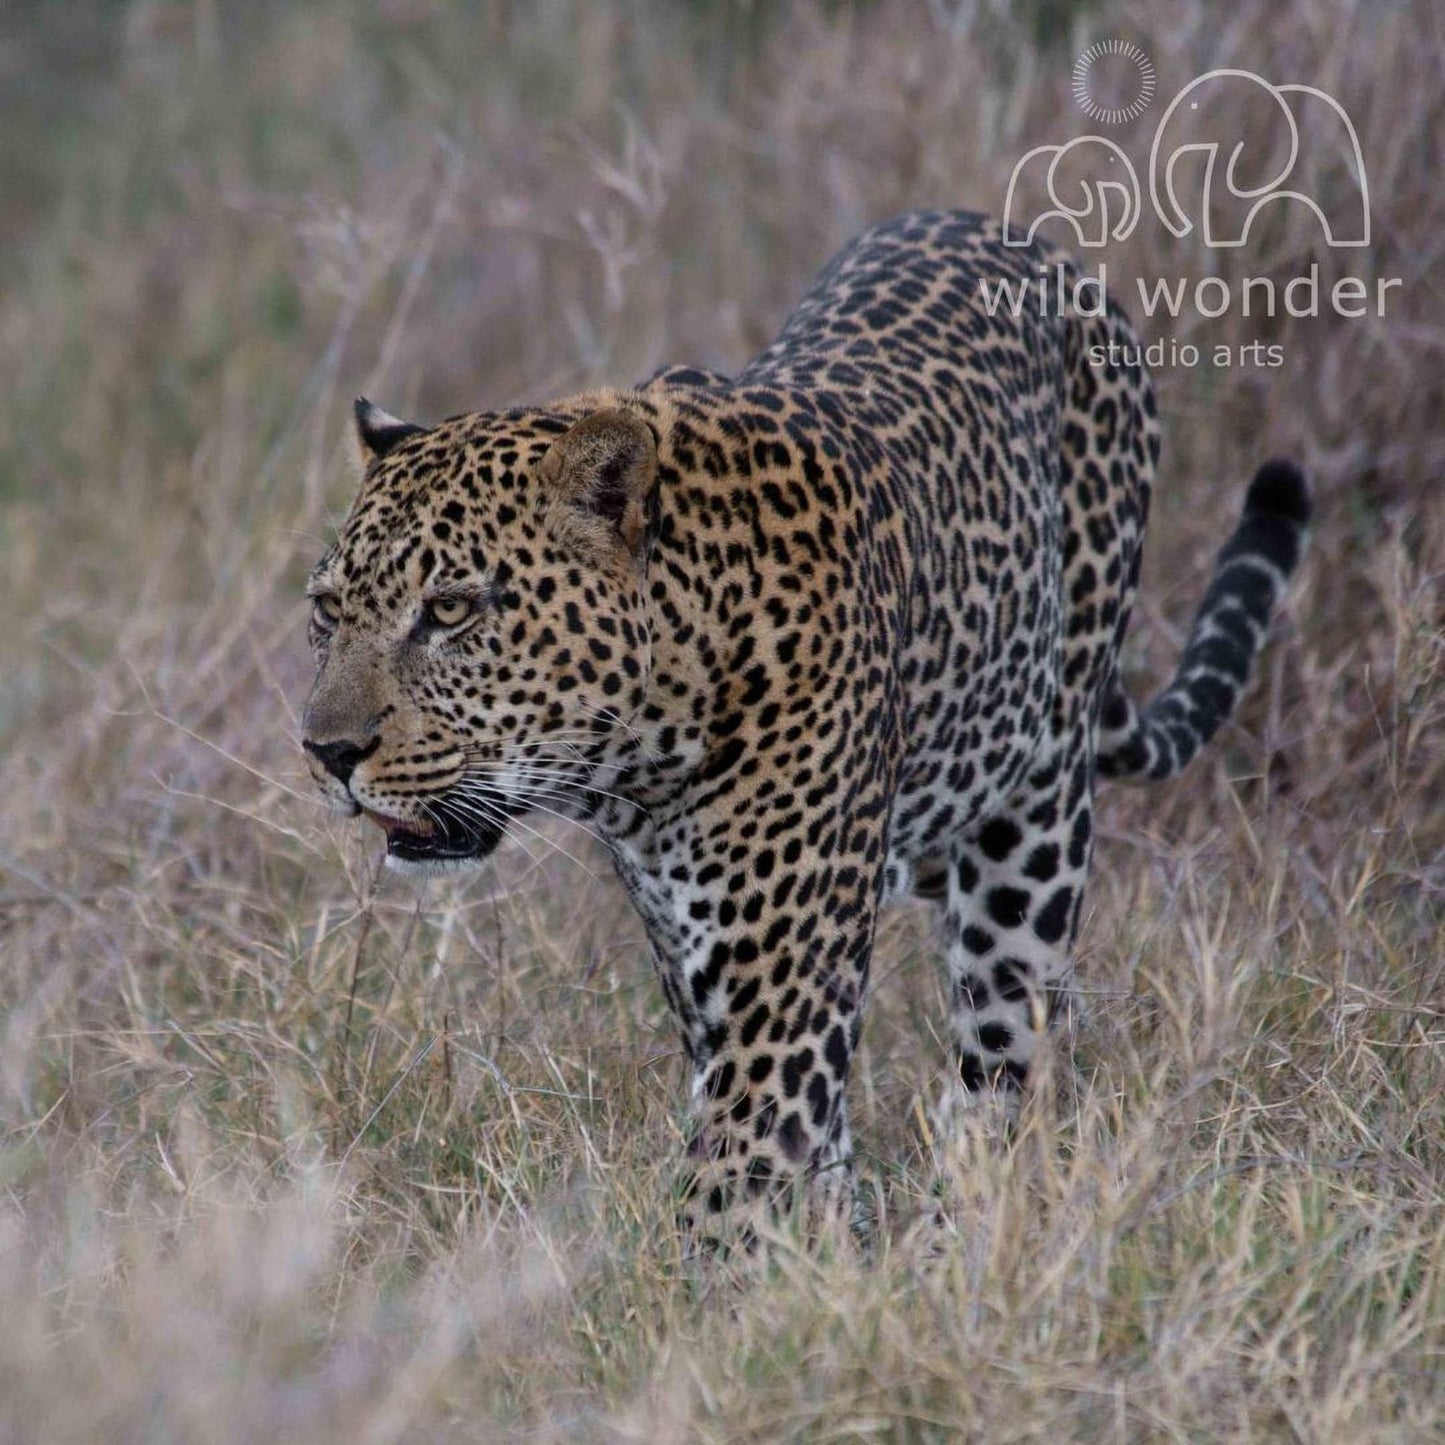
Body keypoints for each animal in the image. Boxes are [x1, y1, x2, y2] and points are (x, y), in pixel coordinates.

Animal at [302, 209, 1309, 1237]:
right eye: (328, 610)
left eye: (450, 610)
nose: (327, 752)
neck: (643, 754)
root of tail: (1028, 242)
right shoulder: (693, 961)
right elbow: (790, 1154)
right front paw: (824, 1245)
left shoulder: (778, 987)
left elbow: (731, 1184)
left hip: (1033, 826)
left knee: (1004, 1052)